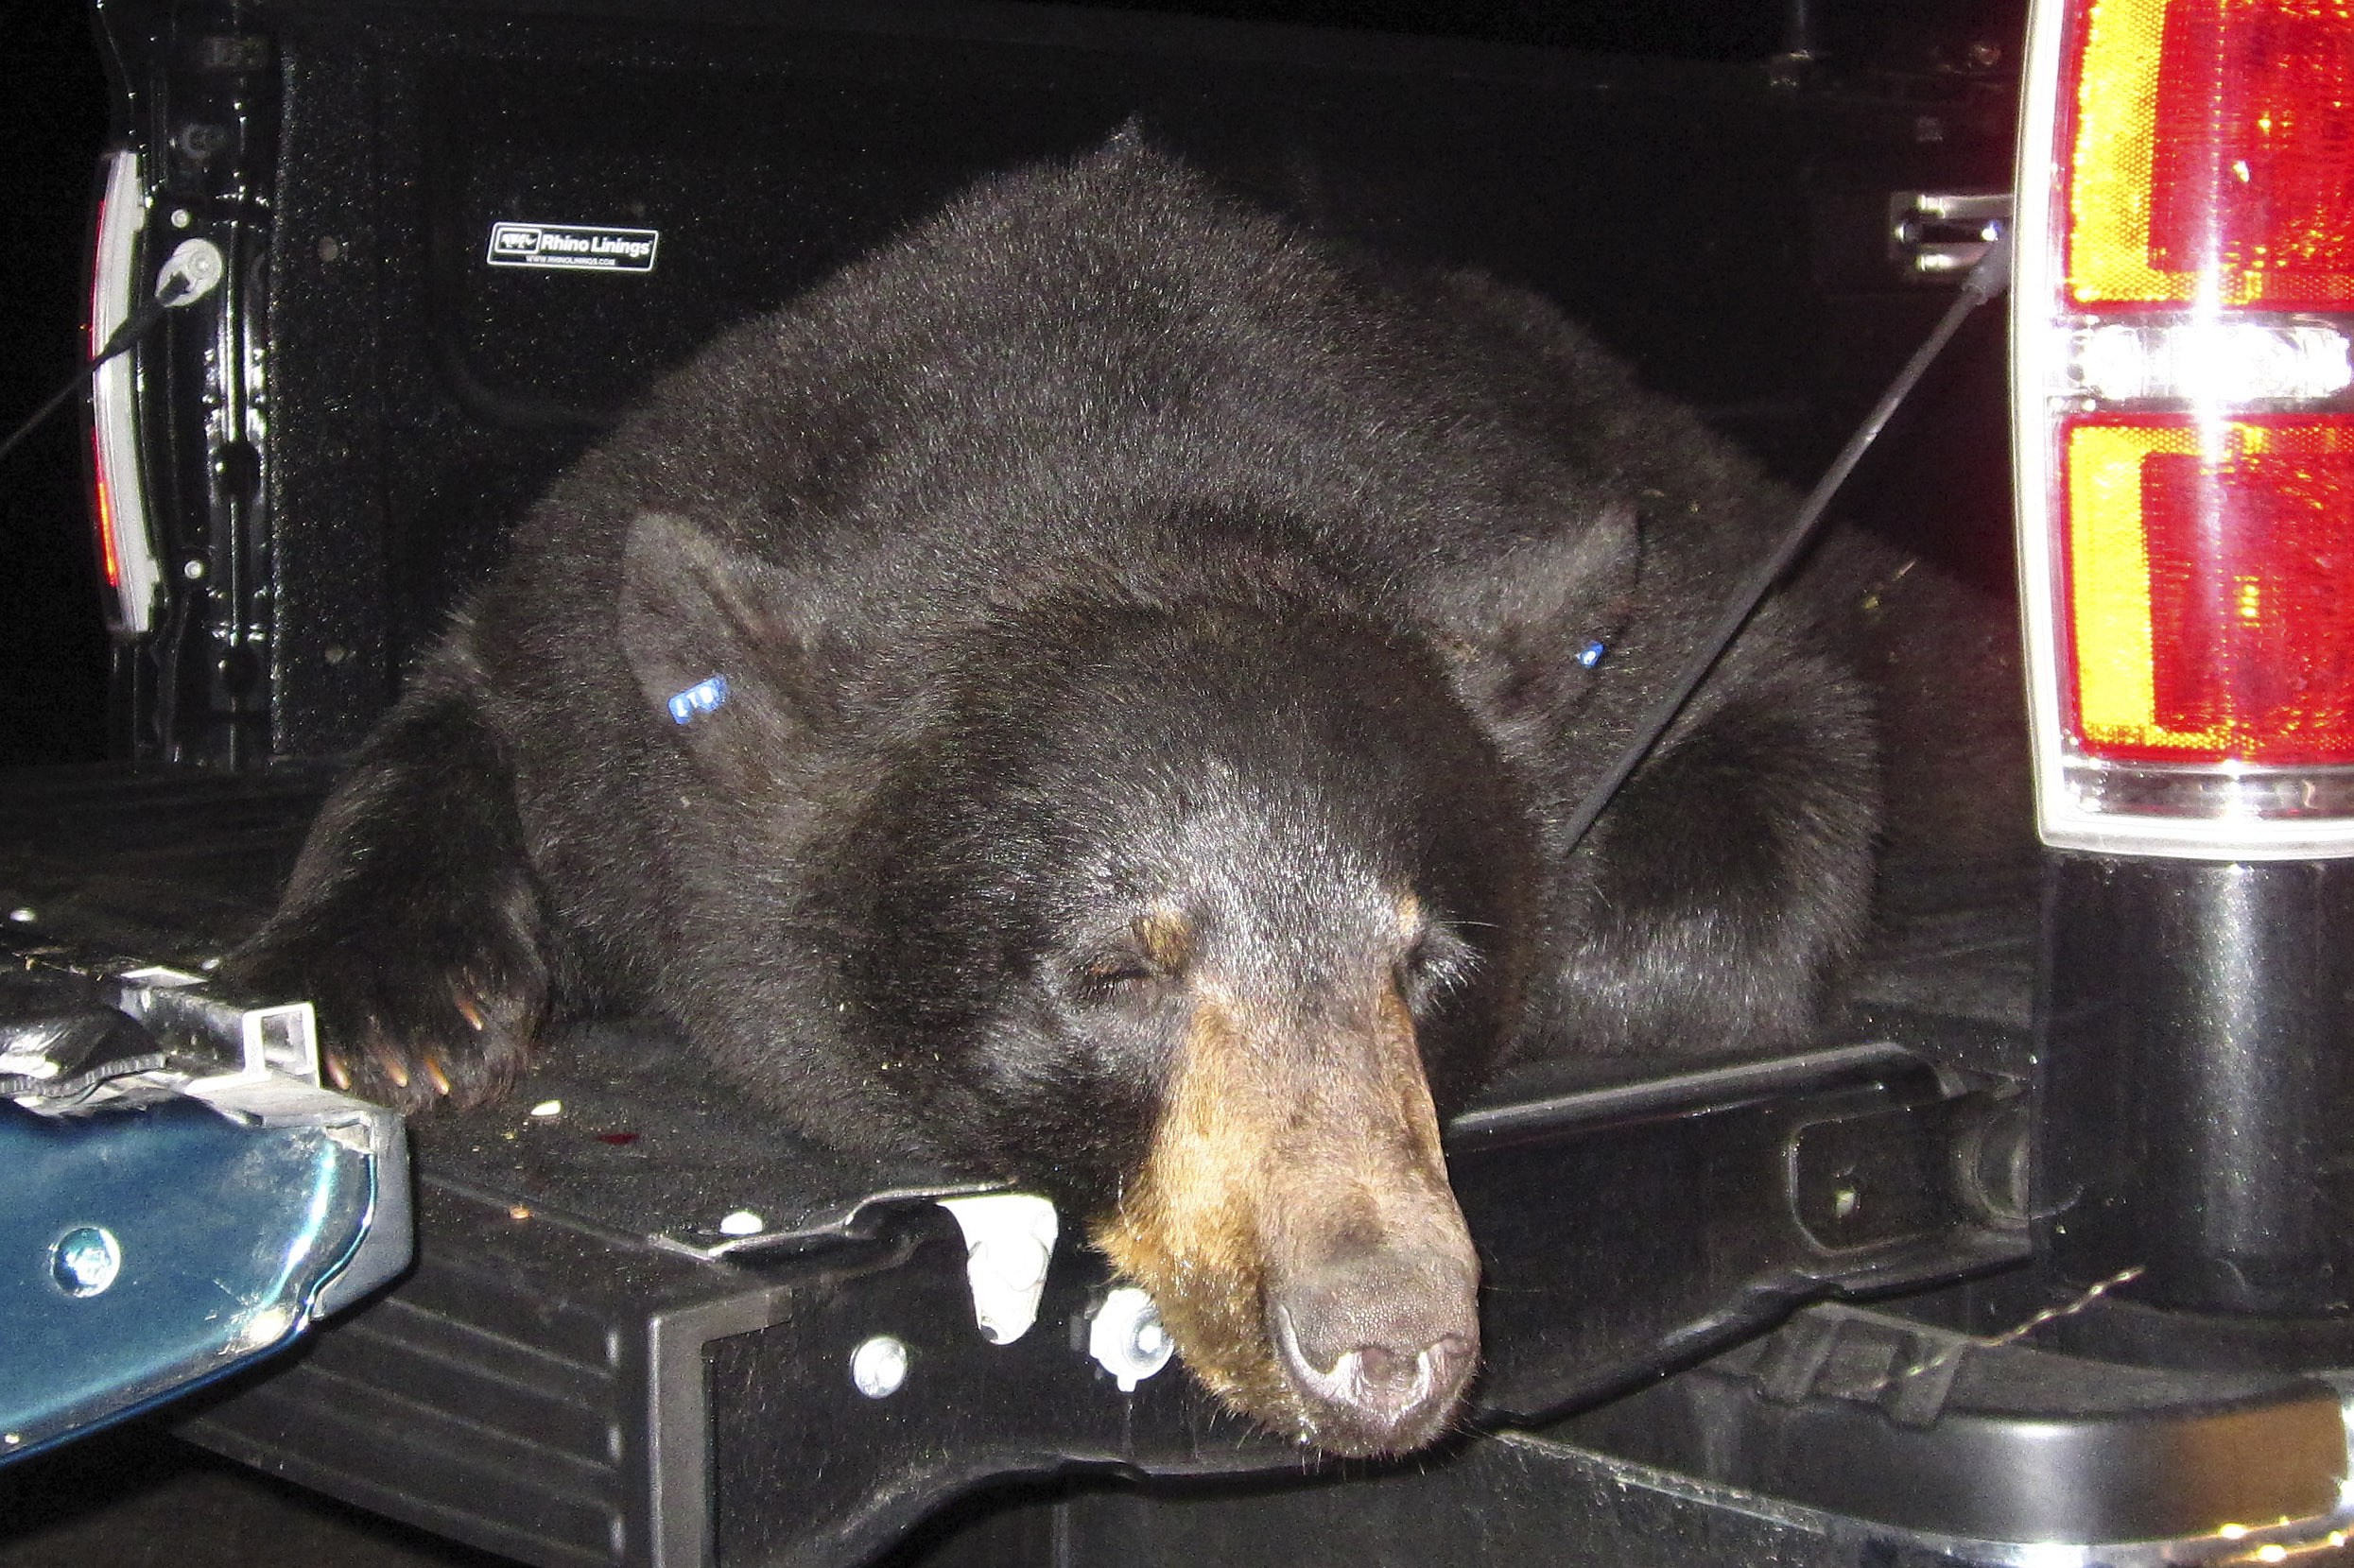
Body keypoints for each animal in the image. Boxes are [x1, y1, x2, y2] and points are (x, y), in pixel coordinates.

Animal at [229, 134, 1881, 1459]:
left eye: (1432, 963)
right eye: (1116, 972)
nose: (1386, 1345)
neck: (1136, 468)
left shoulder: (1675, 592)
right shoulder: (596, 625)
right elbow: (469, 700)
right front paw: (382, 998)